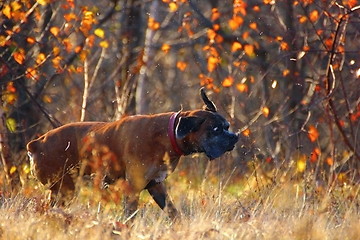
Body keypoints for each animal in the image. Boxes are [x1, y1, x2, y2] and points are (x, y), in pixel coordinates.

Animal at [26, 88, 239, 219]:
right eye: (215, 129)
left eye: (227, 126)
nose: (234, 137)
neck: (167, 134)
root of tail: (36, 143)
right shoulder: (133, 188)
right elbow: (130, 216)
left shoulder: (156, 185)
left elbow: (173, 212)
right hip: (64, 190)